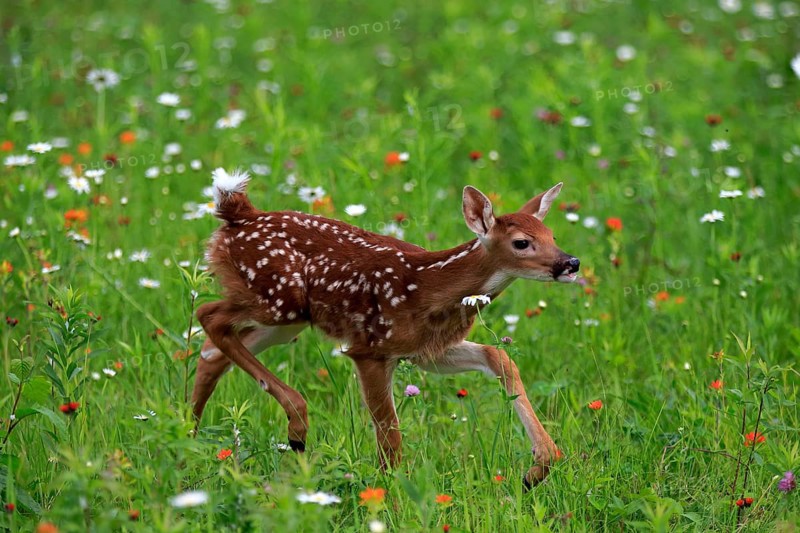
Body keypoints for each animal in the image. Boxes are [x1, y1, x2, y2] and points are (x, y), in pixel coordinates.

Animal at [193, 168, 580, 489]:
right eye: (521, 242)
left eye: (551, 234)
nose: (571, 262)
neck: (428, 287)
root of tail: (241, 212)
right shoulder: (371, 349)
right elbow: (391, 440)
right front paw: (389, 500)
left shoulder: (428, 351)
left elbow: (499, 356)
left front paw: (538, 469)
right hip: (276, 299)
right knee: (208, 315)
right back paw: (295, 423)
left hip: (288, 319)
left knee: (212, 349)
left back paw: (190, 436)